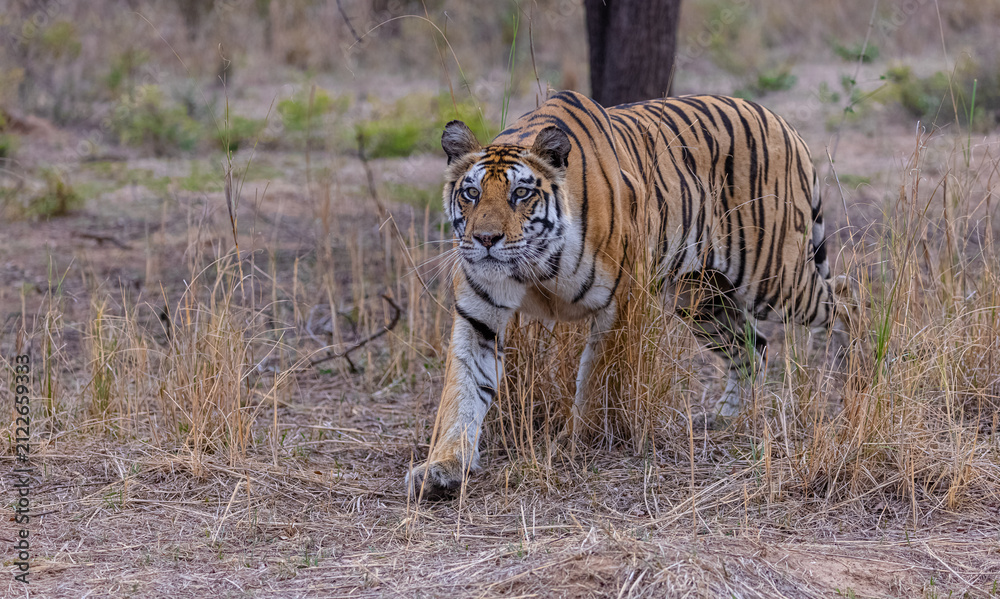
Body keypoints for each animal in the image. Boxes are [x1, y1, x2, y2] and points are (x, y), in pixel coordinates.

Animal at [406, 90, 853, 500]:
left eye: (520, 194)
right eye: (471, 193)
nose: (485, 239)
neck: (535, 265)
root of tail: (781, 121)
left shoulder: (616, 305)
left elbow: (592, 381)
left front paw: (572, 441)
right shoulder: (477, 318)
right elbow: (462, 394)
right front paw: (443, 467)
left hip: (774, 276)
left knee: (847, 297)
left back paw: (856, 376)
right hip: (700, 297)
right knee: (753, 346)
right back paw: (727, 417)